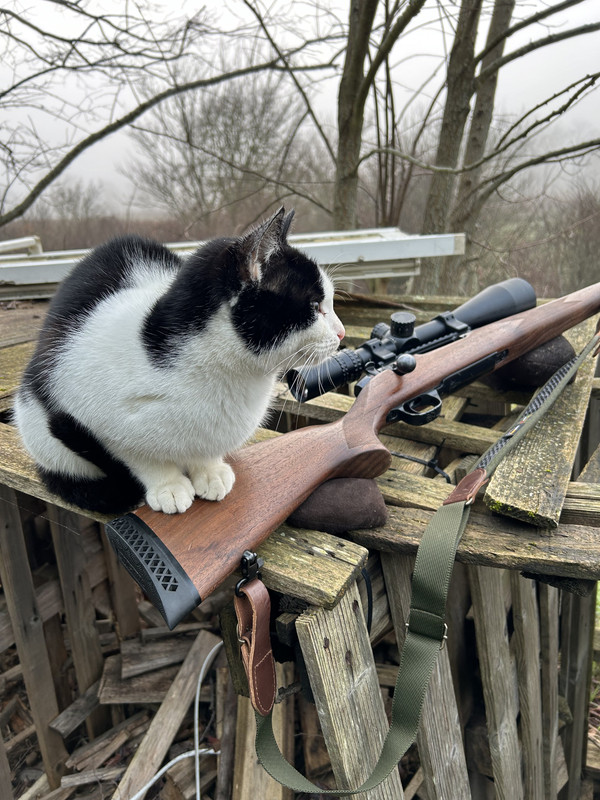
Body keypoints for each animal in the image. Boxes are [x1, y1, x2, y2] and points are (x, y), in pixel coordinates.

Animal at [14, 207, 345, 515]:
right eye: (315, 306)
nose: (342, 333)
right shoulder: (85, 409)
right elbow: (139, 458)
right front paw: (168, 485)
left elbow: (203, 449)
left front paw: (209, 471)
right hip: (37, 424)